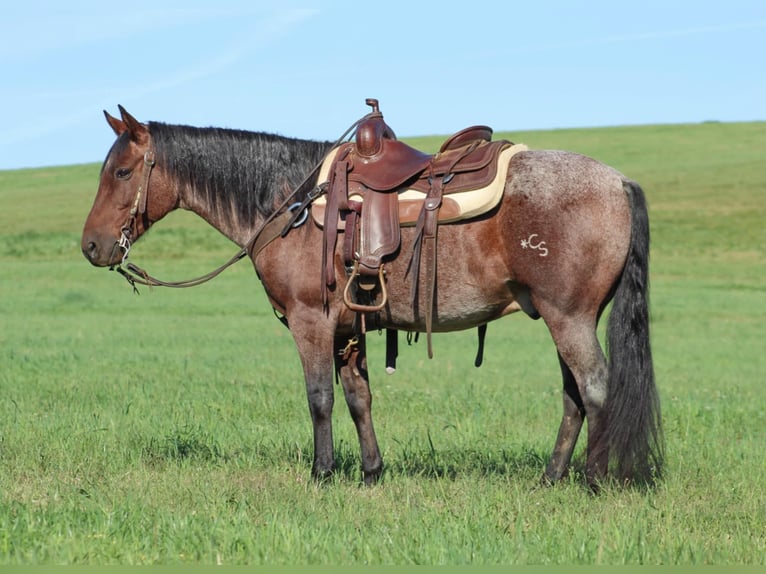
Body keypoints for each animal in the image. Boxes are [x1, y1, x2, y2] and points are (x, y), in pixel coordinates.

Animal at [81, 104, 664, 490]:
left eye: (123, 171)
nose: (91, 246)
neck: (291, 203)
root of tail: (619, 183)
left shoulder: (310, 322)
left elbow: (319, 397)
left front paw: (321, 474)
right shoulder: (348, 328)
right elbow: (358, 397)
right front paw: (370, 472)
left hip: (570, 318)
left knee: (595, 388)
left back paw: (592, 480)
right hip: (559, 317)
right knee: (573, 395)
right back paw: (551, 476)